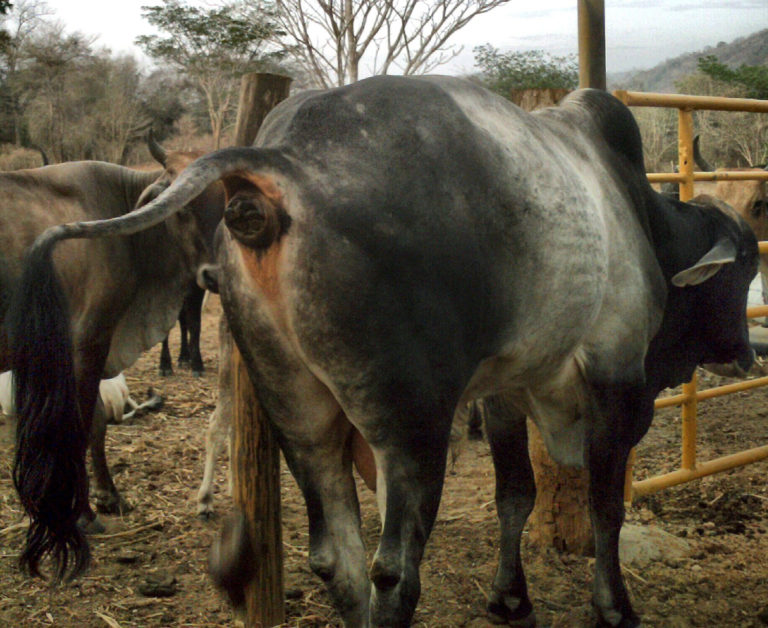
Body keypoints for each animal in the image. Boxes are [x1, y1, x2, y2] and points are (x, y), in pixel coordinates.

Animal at [9, 77, 760, 624]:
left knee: (335, 559)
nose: (746, 355)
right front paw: (613, 607)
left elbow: (515, 497)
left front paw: (509, 597)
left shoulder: (504, 391)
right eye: (747, 264)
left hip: (298, 411)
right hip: (410, 424)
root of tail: (279, 164)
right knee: (395, 571)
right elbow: (607, 507)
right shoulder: (615, 376)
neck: (637, 215)